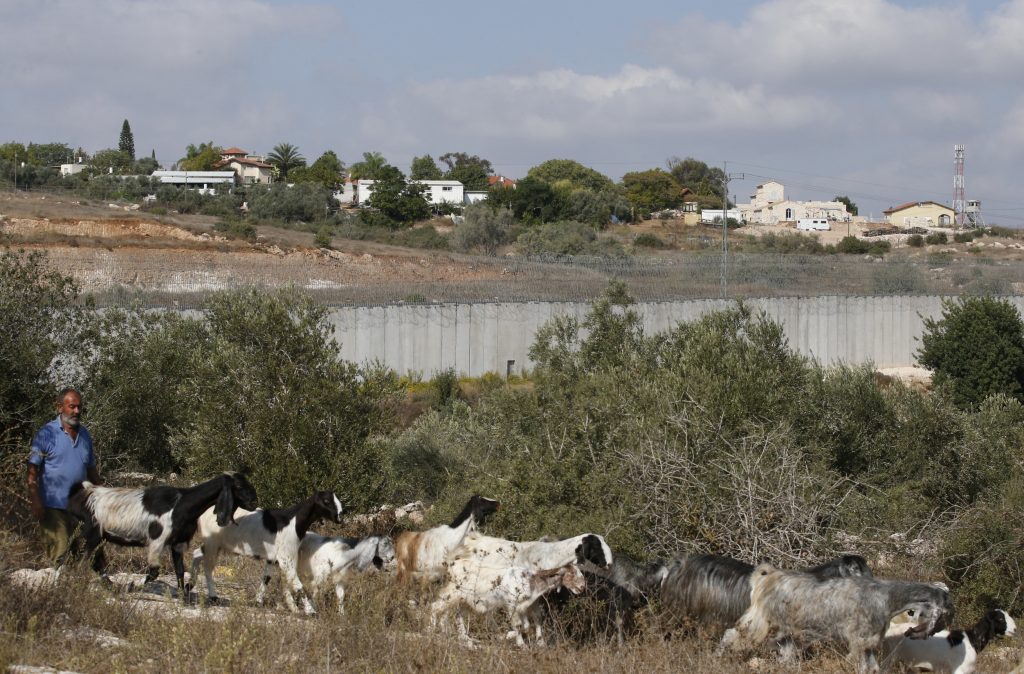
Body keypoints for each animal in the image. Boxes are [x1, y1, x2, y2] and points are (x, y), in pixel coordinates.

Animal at [66, 469, 258, 594]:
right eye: (239, 486)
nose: (254, 502)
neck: (182, 504)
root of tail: (83, 496)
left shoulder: (178, 543)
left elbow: (180, 570)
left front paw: (183, 595)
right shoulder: (157, 540)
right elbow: (154, 572)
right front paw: (133, 586)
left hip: (98, 538)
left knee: (93, 562)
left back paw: (112, 587)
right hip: (90, 536)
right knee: (77, 560)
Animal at [193, 487, 346, 614]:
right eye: (326, 501)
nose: (339, 517)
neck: (293, 522)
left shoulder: (273, 559)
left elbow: (267, 578)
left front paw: (260, 601)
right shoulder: (286, 558)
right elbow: (298, 584)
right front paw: (309, 611)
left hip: (218, 545)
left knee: (196, 553)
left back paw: (190, 584)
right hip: (213, 543)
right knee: (208, 567)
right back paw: (213, 597)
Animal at [256, 532, 395, 610]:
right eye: (385, 543)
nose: (393, 557)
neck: (344, 553)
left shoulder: (339, 579)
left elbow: (340, 596)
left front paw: (341, 616)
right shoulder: (320, 576)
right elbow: (315, 592)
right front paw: (312, 609)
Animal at [720, 561, 950, 671]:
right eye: (944, 609)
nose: (928, 633)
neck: (887, 596)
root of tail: (766, 578)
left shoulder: (868, 643)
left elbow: (872, 668)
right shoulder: (861, 640)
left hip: (783, 631)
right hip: (762, 624)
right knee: (731, 635)